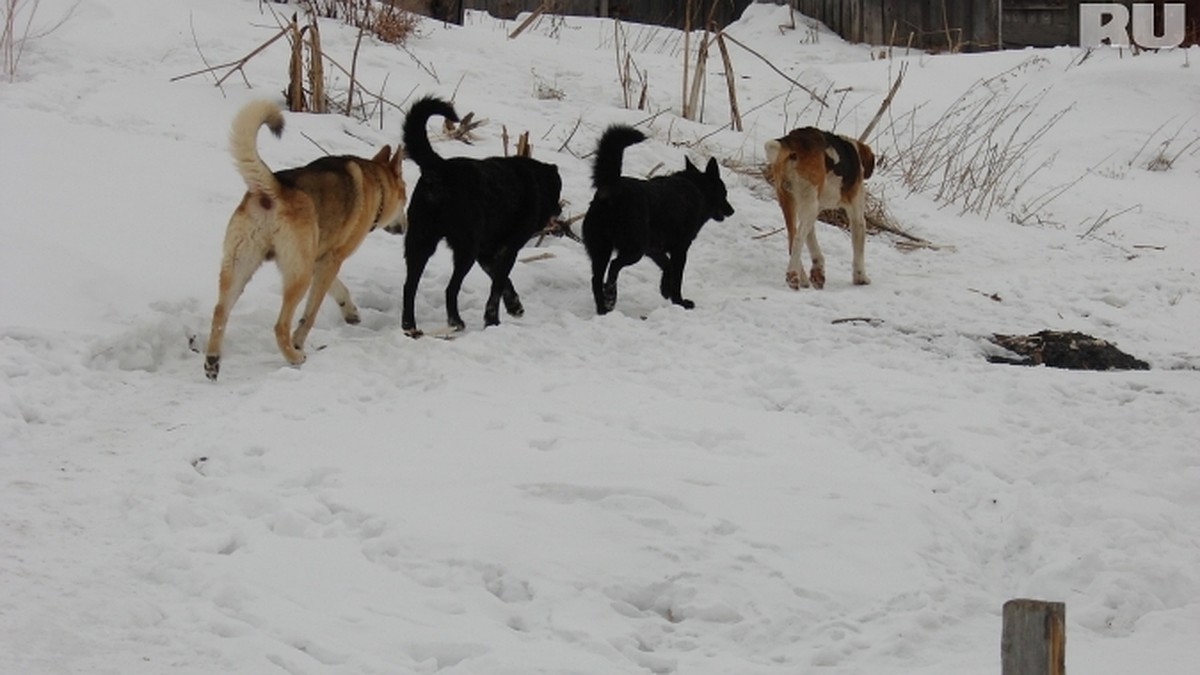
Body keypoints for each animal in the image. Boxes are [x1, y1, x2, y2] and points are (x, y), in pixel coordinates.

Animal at [202, 99, 408, 379]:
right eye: (406, 197)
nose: (406, 227)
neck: (376, 183)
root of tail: (272, 190)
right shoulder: (331, 260)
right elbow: (310, 313)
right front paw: (299, 341)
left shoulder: (321, 260)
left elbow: (339, 289)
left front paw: (351, 312)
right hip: (298, 276)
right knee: (280, 325)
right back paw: (294, 356)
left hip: (239, 267)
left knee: (220, 311)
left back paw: (212, 361)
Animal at [391, 96, 564, 333]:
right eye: (558, 191)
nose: (560, 210)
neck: (534, 181)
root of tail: (441, 168)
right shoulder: (507, 250)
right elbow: (497, 287)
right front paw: (492, 321)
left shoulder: (487, 253)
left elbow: (503, 281)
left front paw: (514, 305)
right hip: (465, 249)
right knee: (450, 289)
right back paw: (455, 321)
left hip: (420, 241)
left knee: (409, 287)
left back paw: (410, 326)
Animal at [580, 124, 729, 314]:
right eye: (725, 193)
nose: (731, 210)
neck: (697, 188)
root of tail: (612, 185)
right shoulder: (680, 249)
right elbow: (676, 277)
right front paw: (679, 302)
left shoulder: (654, 249)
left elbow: (667, 266)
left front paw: (664, 289)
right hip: (633, 250)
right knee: (614, 266)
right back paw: (611, 295)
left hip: (602, 249)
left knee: (596, 279)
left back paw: (603, 309)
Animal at [763, 128, 878, 289]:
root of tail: (792, 140)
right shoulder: (857, 217)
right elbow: (859, 253)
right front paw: (860, 277)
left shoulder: (813, 209)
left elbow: (812, 242)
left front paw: (818, 271)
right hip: (809, 205)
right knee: (798, 238)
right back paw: (792, 275)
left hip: (791, 202)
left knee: (792, 239)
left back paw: (802, 278)